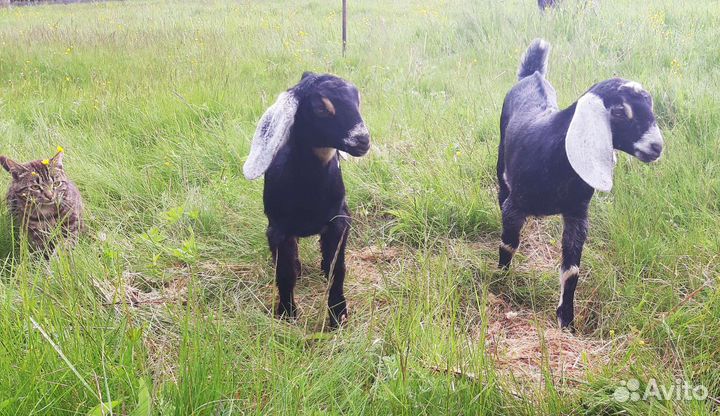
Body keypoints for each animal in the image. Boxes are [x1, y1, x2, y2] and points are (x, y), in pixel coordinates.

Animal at [243, 72, 370, 327]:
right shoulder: (278, 229)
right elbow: (285, 273)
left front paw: (338, 316)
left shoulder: (339, 221)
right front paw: (286, 313)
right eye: (321, 108)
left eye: (357, 99)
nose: (362, 139)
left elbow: (337, 269)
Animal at [497, 39, 664, 329]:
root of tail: (533, 75)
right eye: (619, 111)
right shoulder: (515, 206)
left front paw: (566, 320)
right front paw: (500, 282)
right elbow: (508, 244)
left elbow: (571, 270)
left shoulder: (577, 214)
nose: (656, 147)